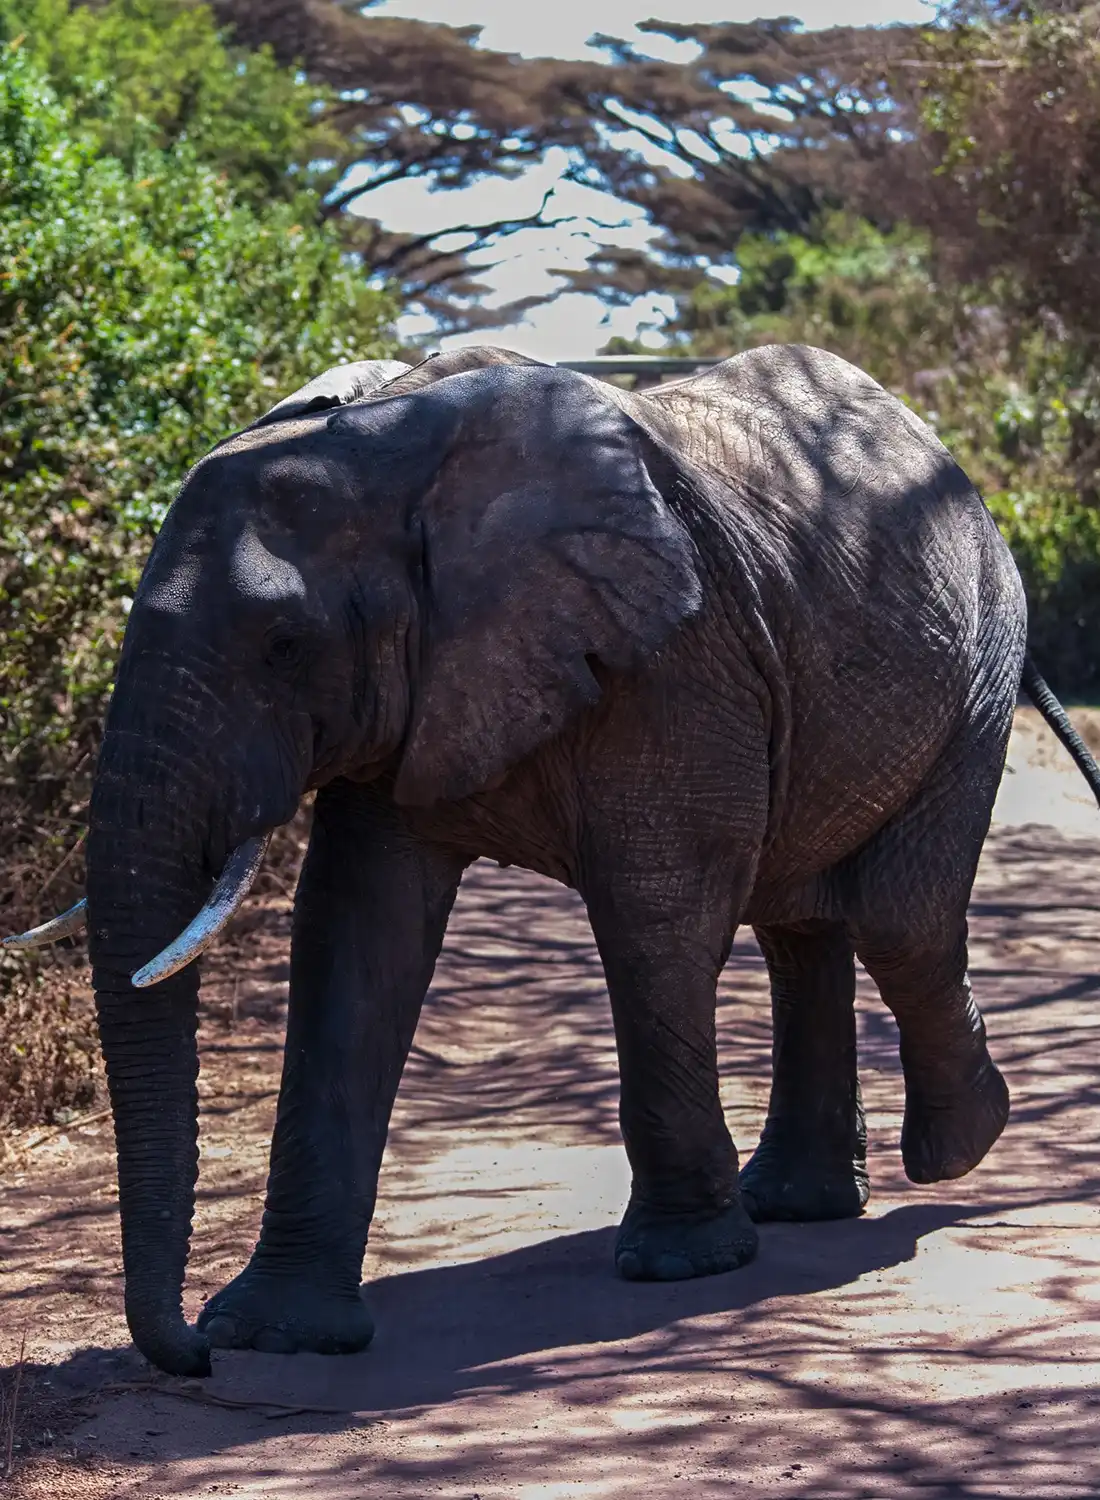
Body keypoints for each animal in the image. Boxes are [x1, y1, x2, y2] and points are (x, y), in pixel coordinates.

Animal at [10, 342, 1100, 1381]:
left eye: (284, 645)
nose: (190, 1358)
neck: (385, 449)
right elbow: (357, 931)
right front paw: (276, 1335)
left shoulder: (672, 656)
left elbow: (655, 911)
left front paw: (683, 1265)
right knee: (801, 922)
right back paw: (804, 1201)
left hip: (978, 655)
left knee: (895, 919)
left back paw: (961, 1145)